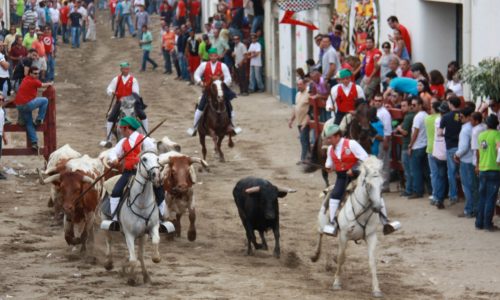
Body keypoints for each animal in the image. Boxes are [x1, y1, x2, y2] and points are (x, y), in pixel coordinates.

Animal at [101, 151, 162, 284]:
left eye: (157, 159)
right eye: (144, 159)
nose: (156, 175)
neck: (142, 204)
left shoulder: (152, 228)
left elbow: (155, 241)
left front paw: (155, 258)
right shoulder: (129, 234)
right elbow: (133, 260)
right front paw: (131, 278)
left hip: (142, 236)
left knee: (140, 255)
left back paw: (145, 275)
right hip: (105, 223)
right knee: (109, 241)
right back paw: (108, 263)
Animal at [310, 157, 384, 298]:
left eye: (382, 184)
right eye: (369, 185)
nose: (377, 207)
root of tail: (330, 188)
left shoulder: (371, 236)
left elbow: (372, 261)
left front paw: (376, 289)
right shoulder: (344, 235)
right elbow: (341, 257)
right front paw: (337, 283)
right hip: (322, 222)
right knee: (321, 235)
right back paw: (315, 256)